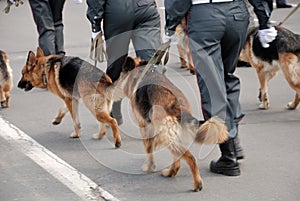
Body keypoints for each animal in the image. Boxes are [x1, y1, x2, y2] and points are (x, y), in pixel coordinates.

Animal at [114, 57, 227, 192]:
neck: (142, 71)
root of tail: (176, 105)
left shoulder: (144, 126)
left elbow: (148, 148)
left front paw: (149, 166)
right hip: (172, 135)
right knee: (177, 158)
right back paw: (170, 172)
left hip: (166, 135)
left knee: (189, 157)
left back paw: (197, 183)